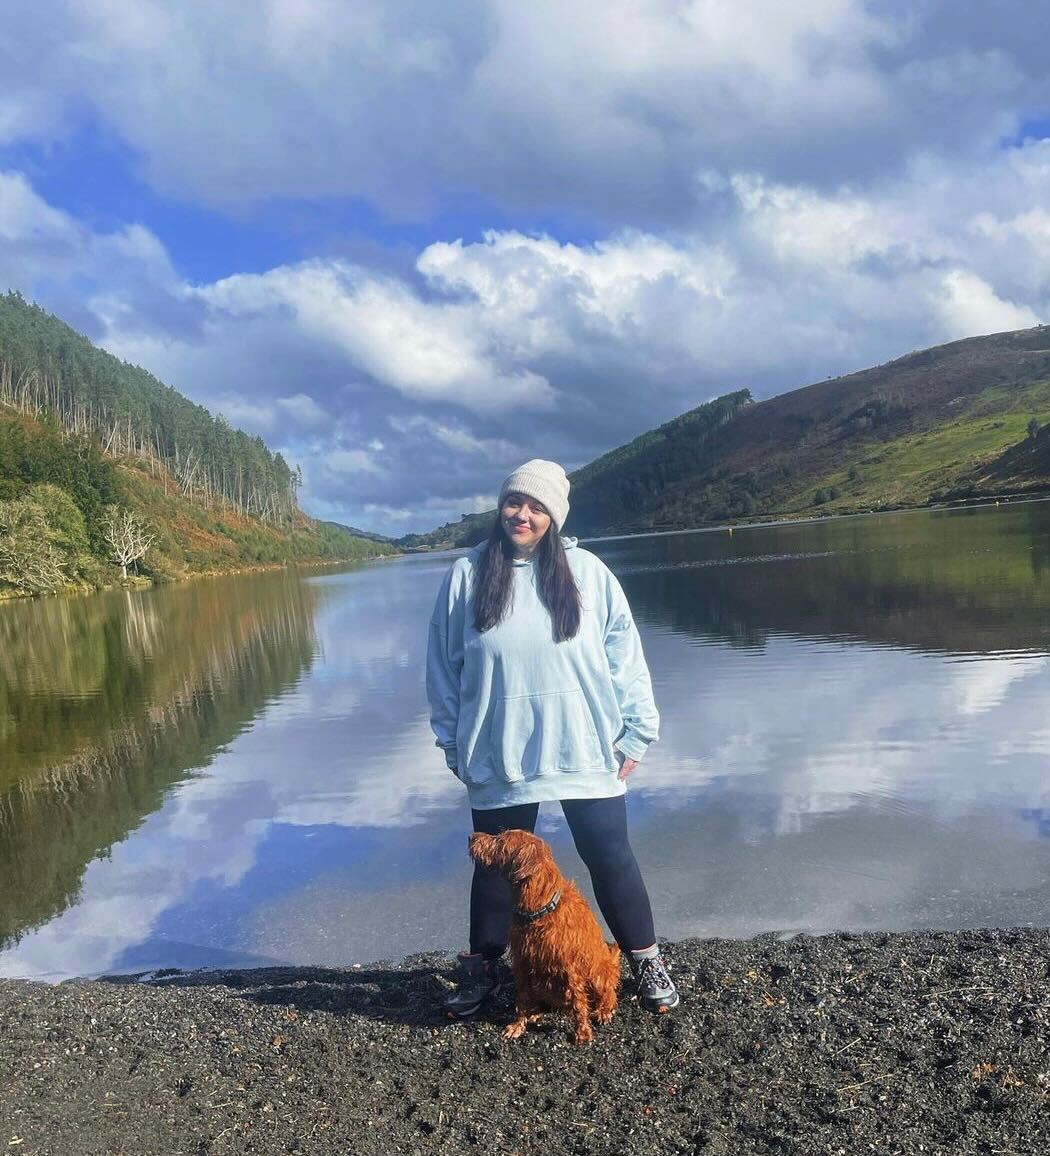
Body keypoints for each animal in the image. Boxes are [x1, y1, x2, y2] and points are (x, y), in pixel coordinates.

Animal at [469, 827, 624, 1045]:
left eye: (500, 841)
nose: (471, 837)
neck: (539, 908)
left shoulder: (570, 968)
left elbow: (578, 1002)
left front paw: (583, 1032)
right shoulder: (522, 962)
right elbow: (522, 998)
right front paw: (518, 1025)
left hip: (598, 974)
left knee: (608, 994)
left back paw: (604, 1010)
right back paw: (535, 1013)